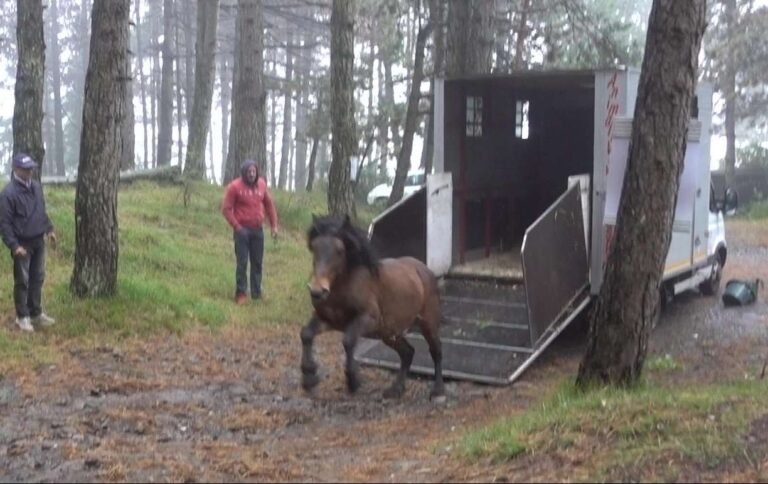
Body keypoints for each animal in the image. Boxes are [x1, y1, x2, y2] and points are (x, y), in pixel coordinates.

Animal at [300, 214, 445, 401]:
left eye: (339, 250)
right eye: (314, 248)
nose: (318, 291)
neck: (342, 288)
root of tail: (424, 270)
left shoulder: (368, 319)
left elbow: (348, 341)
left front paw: (352, 381)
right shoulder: (327, 320)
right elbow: (306, 334)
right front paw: (309, 378)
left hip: (427, 323)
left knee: (436, 351)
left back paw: (438, 390)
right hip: (389, 333)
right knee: (407, 353)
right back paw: (396, 389)